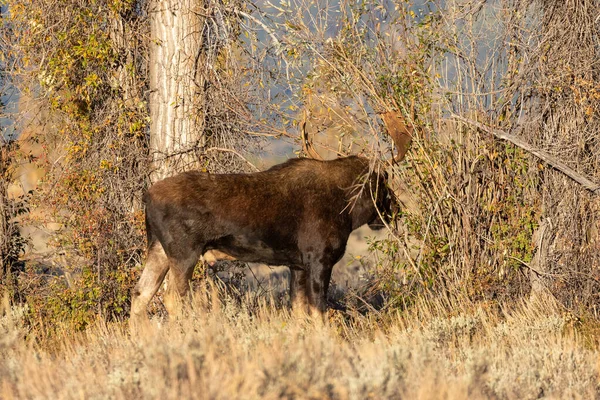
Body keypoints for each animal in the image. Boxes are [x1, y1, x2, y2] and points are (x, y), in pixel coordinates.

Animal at [131, 111, 412, 324]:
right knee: (171, 298)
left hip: (158, 248)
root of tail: (147, 197)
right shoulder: (319, 259)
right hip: (184, 252)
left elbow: (299, 312)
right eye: (384, 180)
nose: (396, 209)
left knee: (140, 294)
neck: (347, 211)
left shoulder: (297, 264)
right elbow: (319, 312)